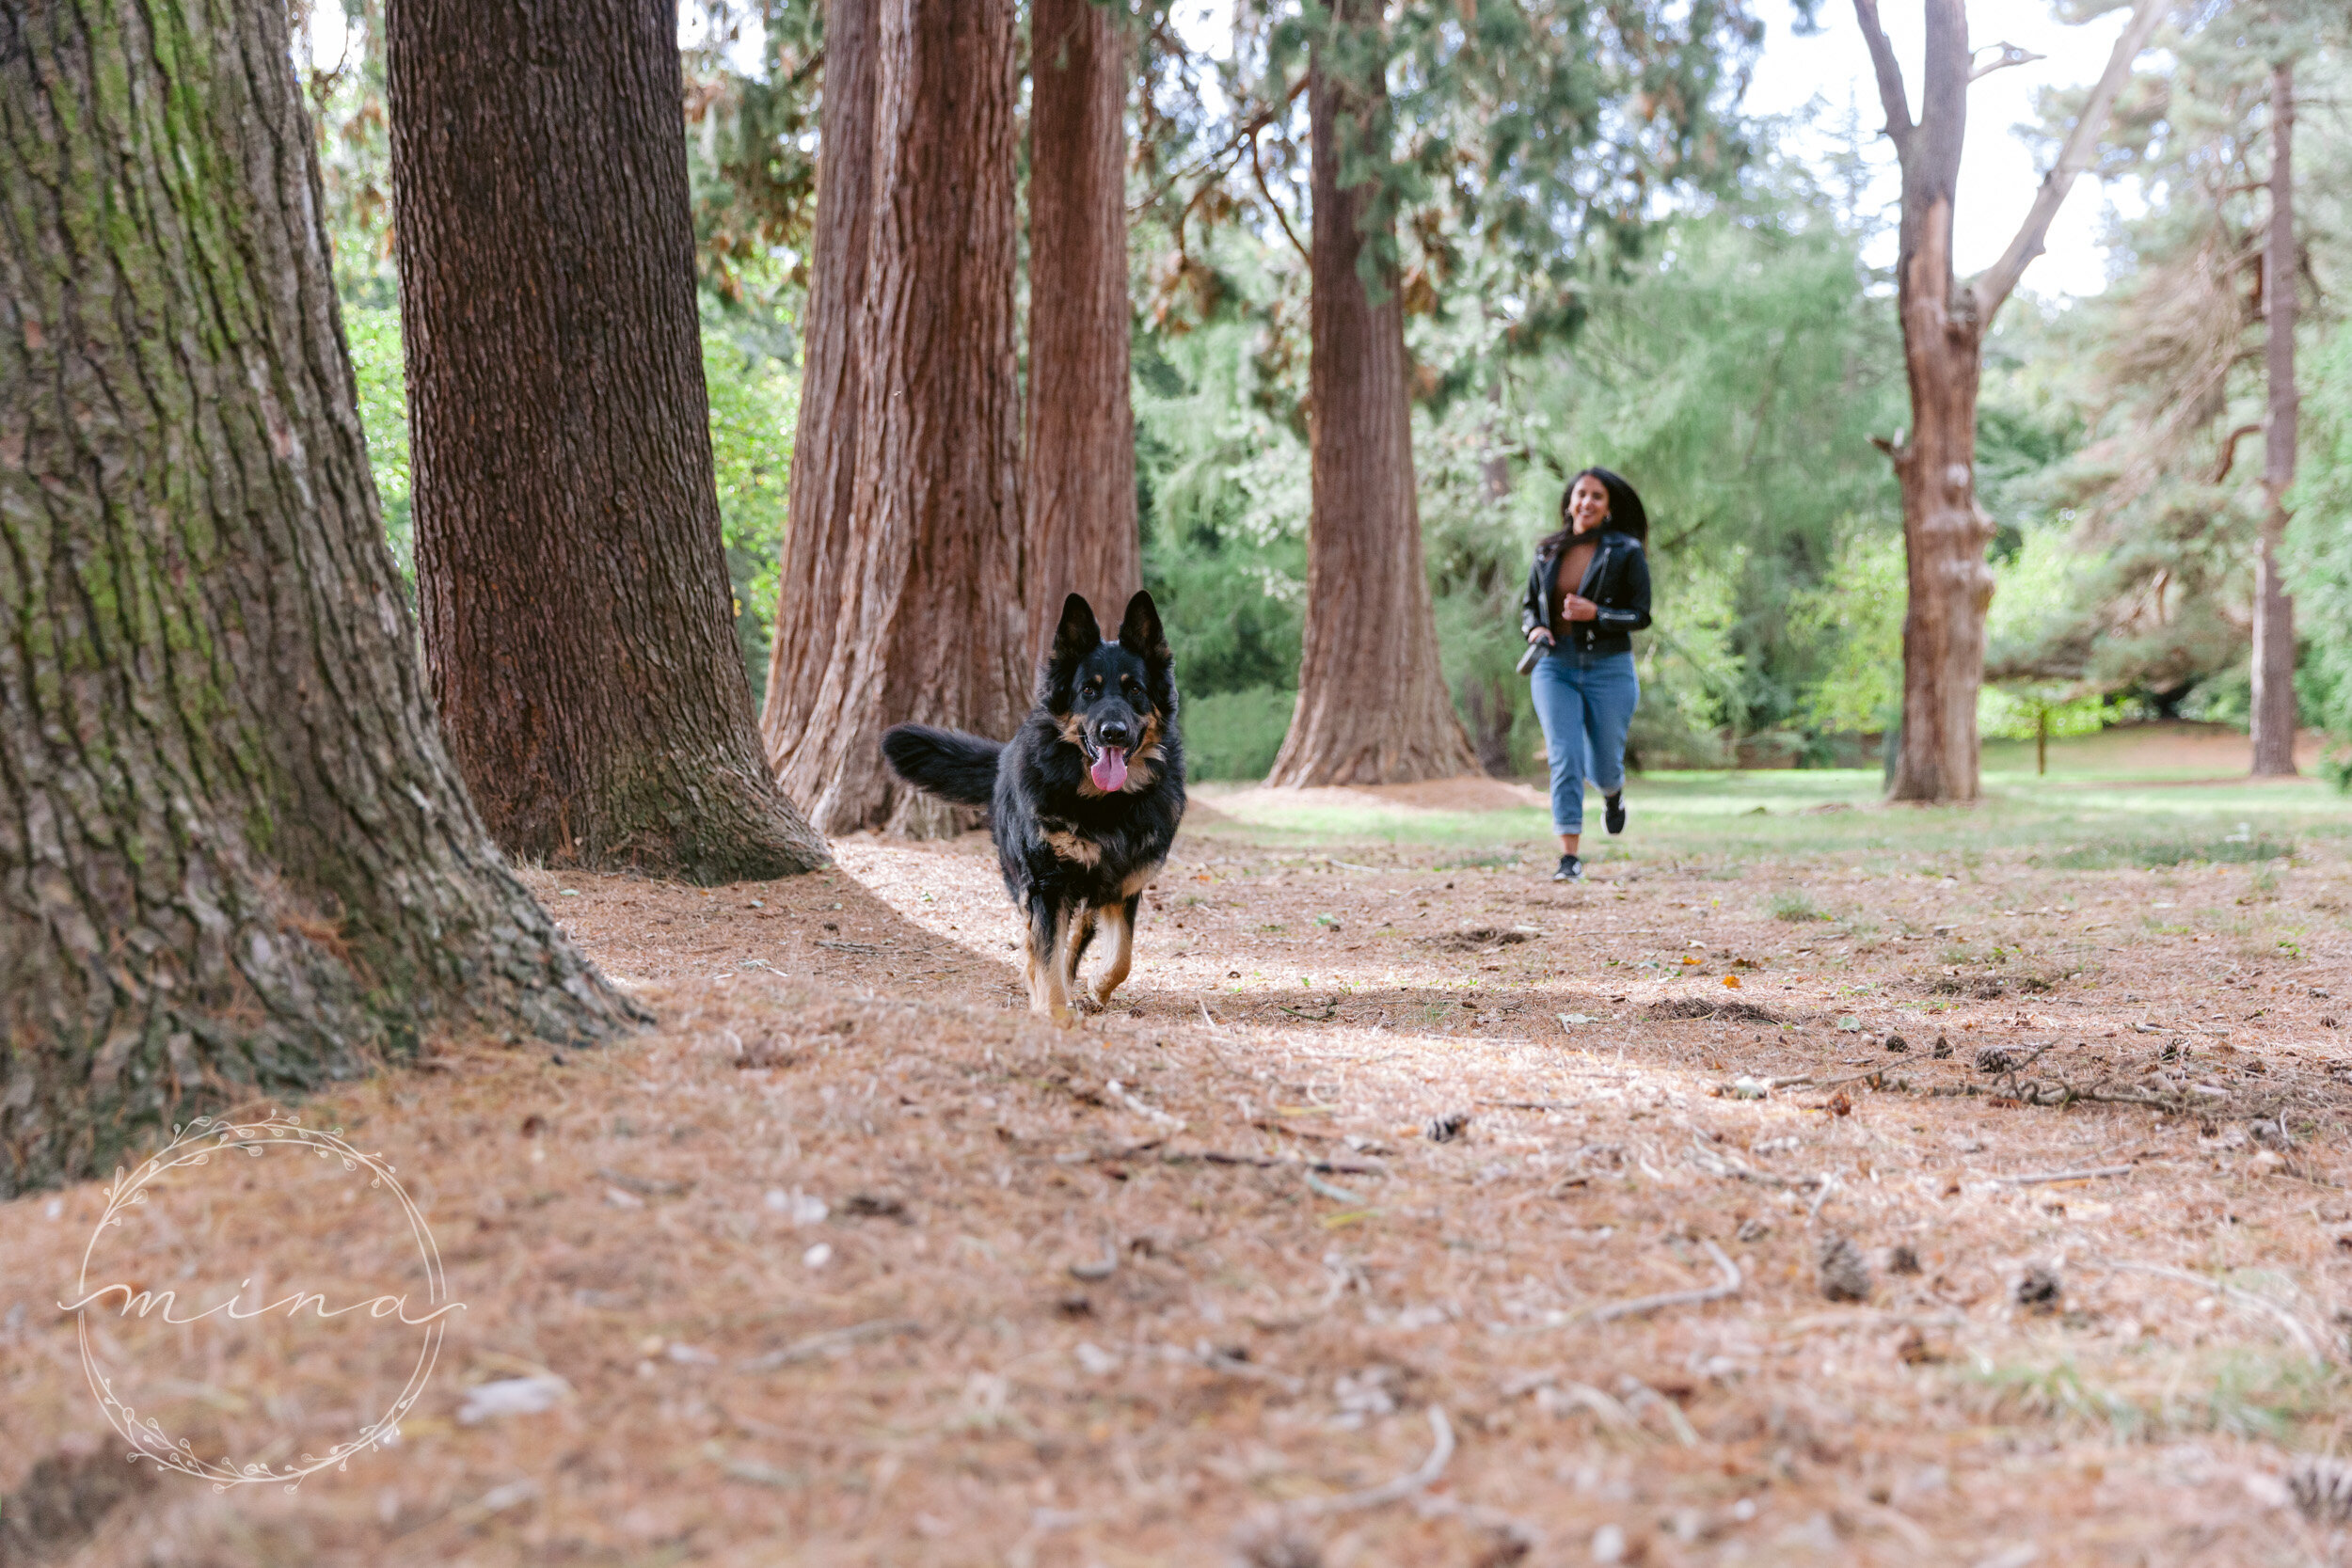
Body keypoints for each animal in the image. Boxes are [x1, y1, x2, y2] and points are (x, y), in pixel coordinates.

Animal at [880, 594, 1185, 1024]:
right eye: (1088, 691)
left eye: (1135, 690)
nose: (1112, 733)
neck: (1105, 803)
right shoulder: (1046, 884)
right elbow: (1047, 957)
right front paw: (1053, 1011)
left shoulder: (1125, 882)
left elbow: (1121, 957)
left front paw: (1096, 986)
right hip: (1024, 878)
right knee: (1037, 942)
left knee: (1081, 930)